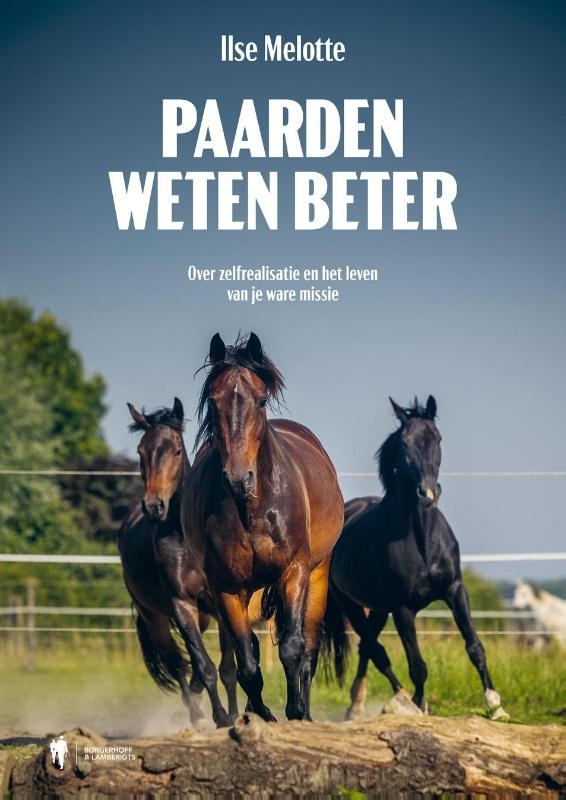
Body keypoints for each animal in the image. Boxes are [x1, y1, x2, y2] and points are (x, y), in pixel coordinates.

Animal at [118, 398, 236, 728]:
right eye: (141, 451)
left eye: (176, 451)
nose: (154, 506)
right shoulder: (181, 605)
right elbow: (204, 665)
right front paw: (220, 717)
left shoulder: (220, 603)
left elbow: (227, 668)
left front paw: (235, 714)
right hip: (154, 617)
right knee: (176, 663)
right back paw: (195, 713)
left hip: (203, 615)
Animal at [182, 332, 344, 722]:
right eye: (214, 401)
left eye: (261, 399)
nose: (238, 479)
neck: (252, 508)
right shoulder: (226, 587)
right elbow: (247, 662)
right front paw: (262, 714)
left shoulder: (294, 572)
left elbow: (293, 648)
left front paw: (296, 711)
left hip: (318, 575)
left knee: (309, 648)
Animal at [322, 396, 508, 721]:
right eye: (405, 443)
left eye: (437, 438)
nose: (428, 494)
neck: (423, 542)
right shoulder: (403, 609)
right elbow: (417, 665)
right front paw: (420, 707)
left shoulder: (455, 590)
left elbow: (474, 646)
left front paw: (495, 706)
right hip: (352, 604)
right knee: (377, 651)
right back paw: (395, 702)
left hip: (377, 608)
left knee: (367, 649)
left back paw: (358, 706)